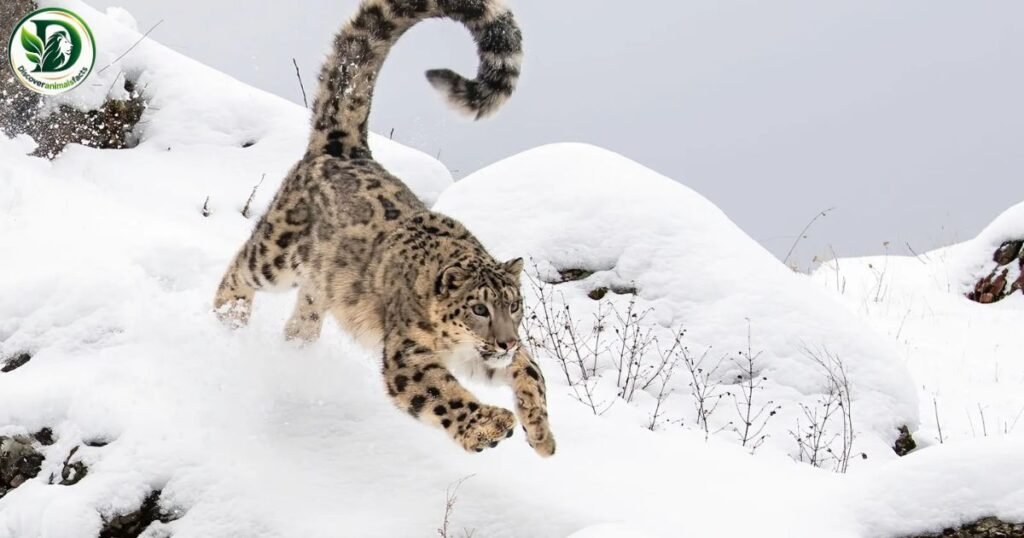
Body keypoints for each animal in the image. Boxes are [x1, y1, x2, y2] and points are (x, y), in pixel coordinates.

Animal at [212, 0, 554, 456]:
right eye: (479, 308)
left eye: (514, 305)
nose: (505, 341)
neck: (460, 349)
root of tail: (346, 148)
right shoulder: (408, 353)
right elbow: (442, 393)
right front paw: (488, 426)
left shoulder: (489, 358)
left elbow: (532, 372)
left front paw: (541, 433)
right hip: (277, 253)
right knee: (240, 269)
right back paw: (227, 321)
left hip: (319, 289)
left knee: (301, 321)